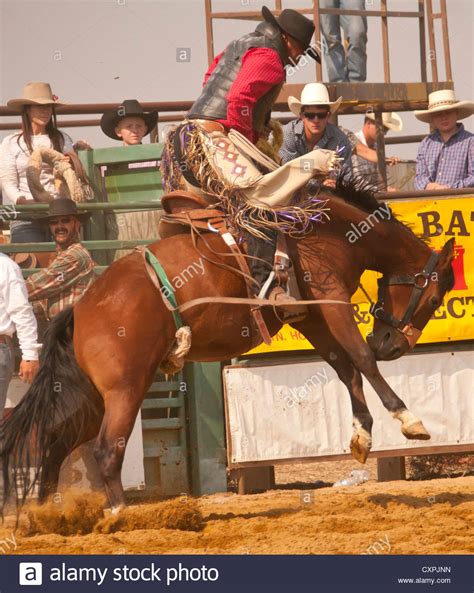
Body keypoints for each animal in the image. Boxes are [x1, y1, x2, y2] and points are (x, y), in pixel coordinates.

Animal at [0, 178, 454, 512]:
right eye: (434, 298)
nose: (392, 345)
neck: (324, 230)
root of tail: (82, 308)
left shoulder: (310, 315)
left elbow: (345, 367)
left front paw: (362, 436)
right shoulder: (330, 300)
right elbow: (360, 359)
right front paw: (409, 420)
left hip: (94, 395)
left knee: (55, 440)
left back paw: (47, 515)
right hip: (125, 389)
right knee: (106, 450)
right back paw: (118, 515)